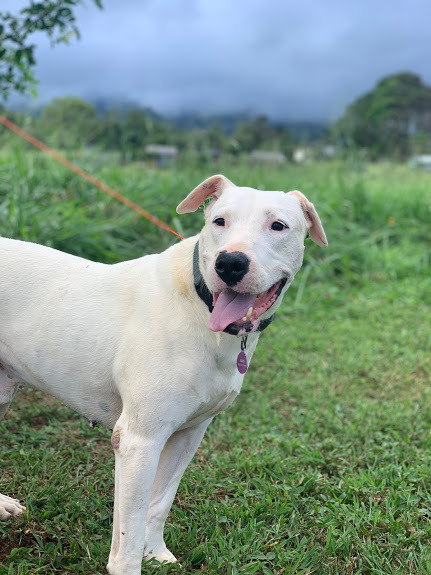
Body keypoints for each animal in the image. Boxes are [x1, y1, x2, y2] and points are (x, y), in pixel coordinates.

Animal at [0, 176, 328, 575]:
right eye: (219, 221)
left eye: (278, 225)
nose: (230, 263)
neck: (201, 306)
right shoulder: (139, 440)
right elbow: (128, 530)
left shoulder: (188, 434)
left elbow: (159, 504)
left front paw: (155, 552)